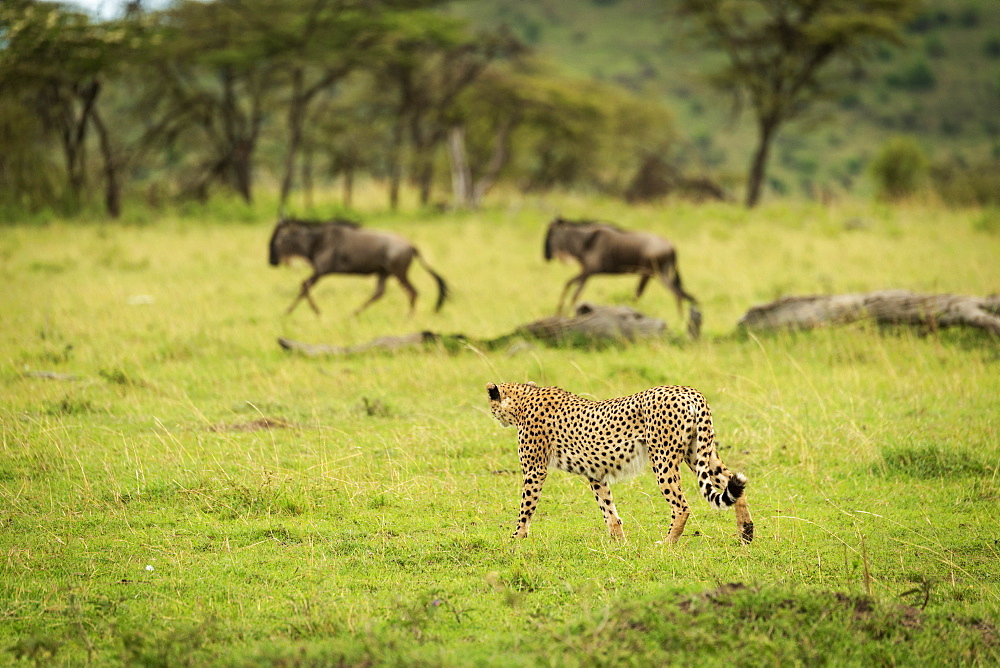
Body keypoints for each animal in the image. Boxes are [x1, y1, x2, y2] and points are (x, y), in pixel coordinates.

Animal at [488, 380, 752, 544]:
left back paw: (667, 543)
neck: (524, 400)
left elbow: (526, 508)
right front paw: (618, 542)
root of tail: (689, 391)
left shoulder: (534, 470)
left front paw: (516, 538)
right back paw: (746, 533)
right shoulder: (595, 473)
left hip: (663, 459)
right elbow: (608, 509)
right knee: (732, 483)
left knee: (681, 506)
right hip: (698, 453)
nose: (495, 417)